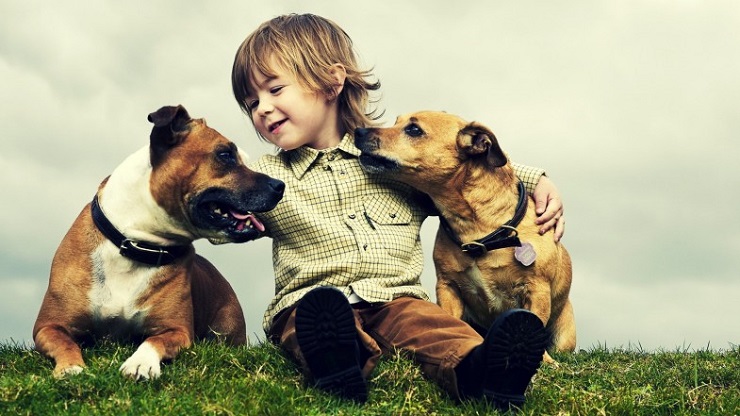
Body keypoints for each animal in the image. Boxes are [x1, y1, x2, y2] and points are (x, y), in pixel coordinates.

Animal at [33, 105, 284, 378]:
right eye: (225, 155)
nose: (280, 185)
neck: (135, 245)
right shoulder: (48, 326)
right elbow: (64, 342)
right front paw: (71, 367)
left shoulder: (176, 330)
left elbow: (153, 341)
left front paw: (140, 363)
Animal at [356, 110, 576, 360]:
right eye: (396, 122)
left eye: (413, 130)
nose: (358, 131)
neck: (477, 229)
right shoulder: (448, 287)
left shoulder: (536, 288)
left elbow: (534, 325)